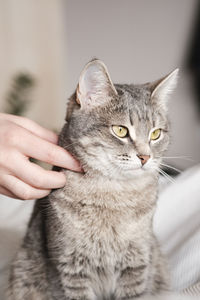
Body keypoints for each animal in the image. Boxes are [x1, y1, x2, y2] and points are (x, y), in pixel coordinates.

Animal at [7, 59, 180, 298]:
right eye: (120, 130)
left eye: (156, 134)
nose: (145, 157)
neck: (113, 197)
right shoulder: (68, 268)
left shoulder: (137, 263)